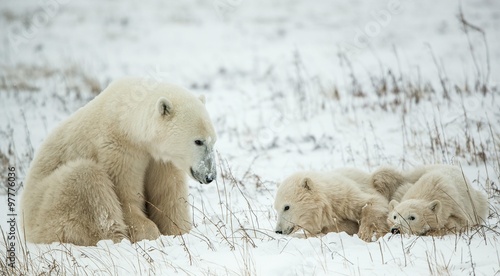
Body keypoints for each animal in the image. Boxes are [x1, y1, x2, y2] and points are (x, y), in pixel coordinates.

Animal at [21, 77, 217, 246]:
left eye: (213, 141)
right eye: (198, 141)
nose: (210, 176)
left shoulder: (161, 159)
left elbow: (168, 196)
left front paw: (180, 231)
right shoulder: (118, 149)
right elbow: (125, 197)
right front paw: (149, 233)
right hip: (43, 205)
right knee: (85, 179)